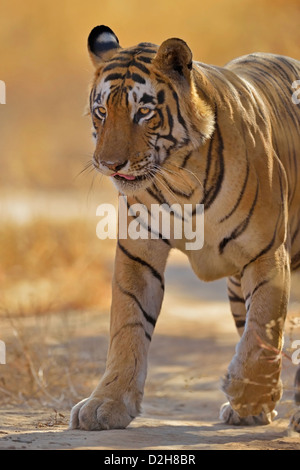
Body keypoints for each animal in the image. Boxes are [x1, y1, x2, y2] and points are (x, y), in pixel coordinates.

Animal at [69, 24, 300, 430]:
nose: (109, 164)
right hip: (236, 284)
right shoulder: (138, 252)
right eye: (101, 112)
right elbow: (128, 326)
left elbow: (262, 328)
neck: (178, 177)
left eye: (144, 112)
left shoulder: (267, 254)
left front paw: (247, 392)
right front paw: (106, 403)